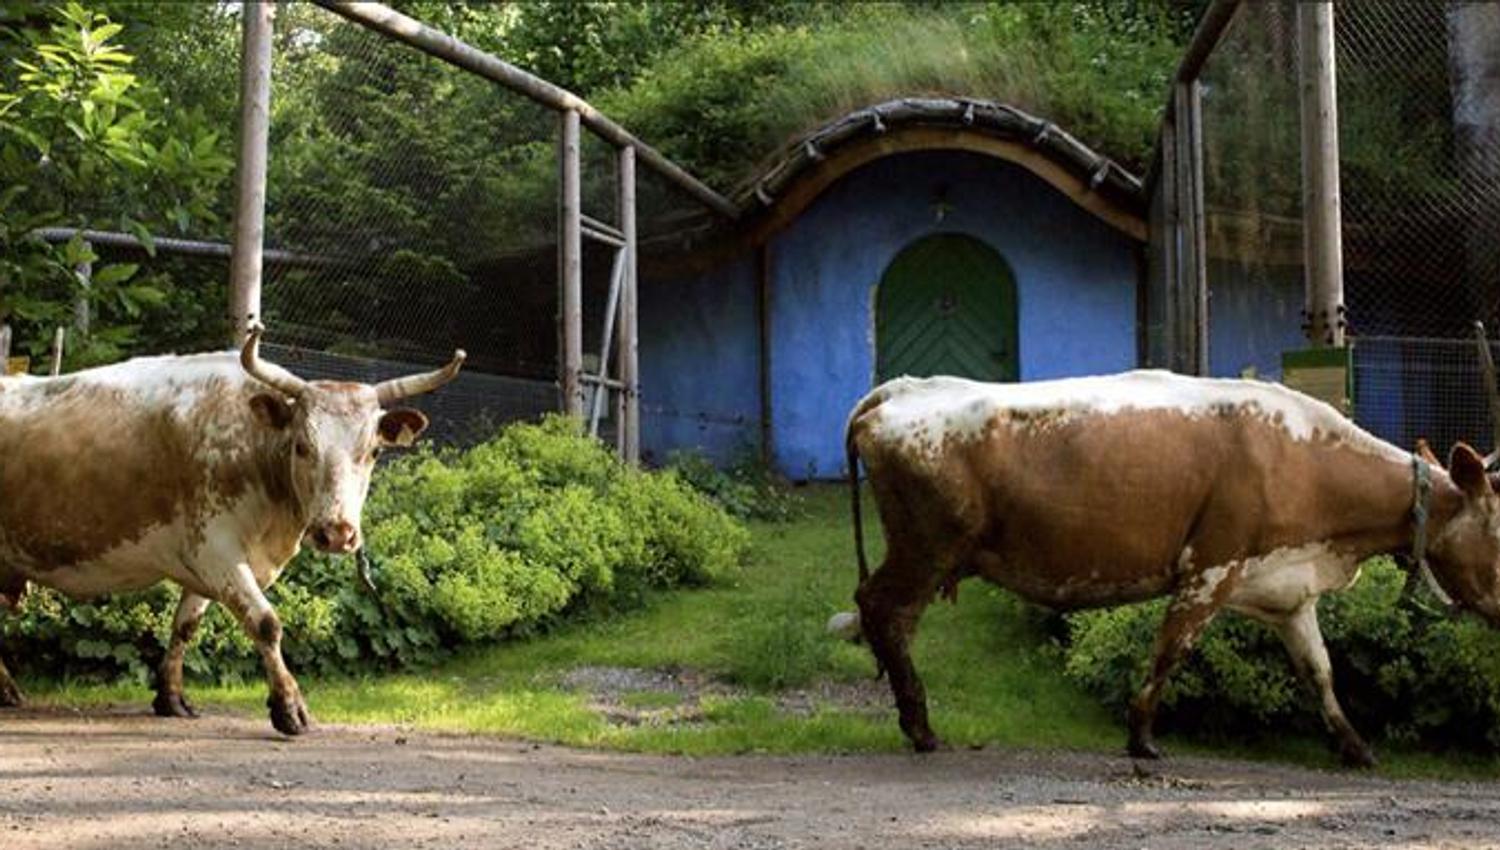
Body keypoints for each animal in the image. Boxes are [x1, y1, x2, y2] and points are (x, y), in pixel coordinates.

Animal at [0, 324, 464, 735]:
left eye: (373, 452)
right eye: (302, 446)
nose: (336, 532)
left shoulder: (205, 563)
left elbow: (185, 626)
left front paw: (171, 696)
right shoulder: (217, 551)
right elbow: (266, 623)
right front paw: (289, 707)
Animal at [837, 369, 1500, 767]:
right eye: (1497, 529)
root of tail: (898, 389)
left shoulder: (1288, 589)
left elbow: (1320, 671)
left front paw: (1354, 746)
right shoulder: (1210, 568)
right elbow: (1169, 651)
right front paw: (1142, 738)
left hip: (928, 551)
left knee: (889, 619)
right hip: (927, 547)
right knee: (882, 609)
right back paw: (920, 727)